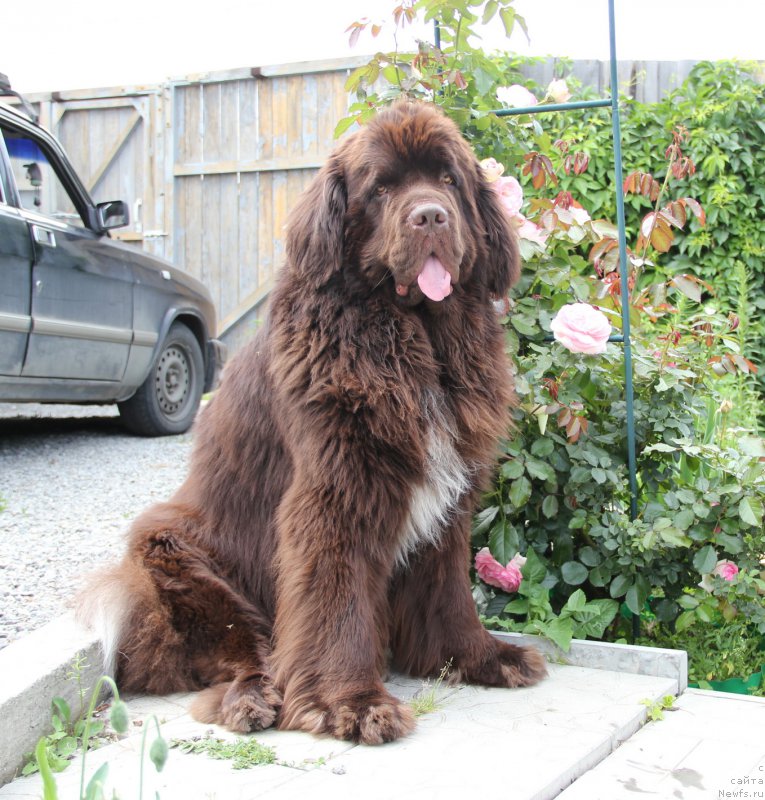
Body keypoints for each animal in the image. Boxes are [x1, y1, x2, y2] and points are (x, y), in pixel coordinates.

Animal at [82, 100, 544, 744]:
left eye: (449, 180)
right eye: (381, 188)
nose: (430, 215)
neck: (416, 340)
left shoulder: (449, 502)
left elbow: (450, 587)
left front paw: (475, 657)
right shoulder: (337, 490)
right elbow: (335, 594)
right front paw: (349, 702)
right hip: (180, 558)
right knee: (243, 654)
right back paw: (254, 700)